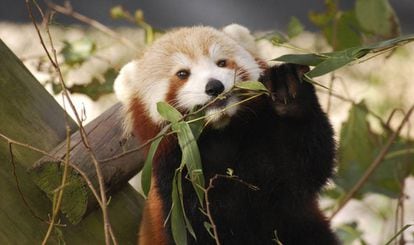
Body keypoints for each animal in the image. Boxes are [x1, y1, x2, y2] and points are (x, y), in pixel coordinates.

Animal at [114, 24, 340, 245]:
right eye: (182, 74)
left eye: (221, 63)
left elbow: (303, 167)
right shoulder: (176, 186)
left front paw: (287, 88)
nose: (214, 86)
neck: (219, 135)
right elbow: (201, 231)